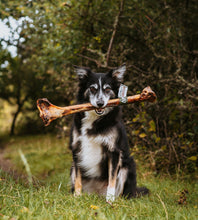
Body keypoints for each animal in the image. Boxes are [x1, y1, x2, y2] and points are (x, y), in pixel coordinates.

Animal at [69, 64, 148, 203]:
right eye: (92, 89)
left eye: (107, 89)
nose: (100, 103)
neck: (95, 119)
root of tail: (96, 193)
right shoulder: (76, 148)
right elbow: (78, 178)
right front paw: (77, 196)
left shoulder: (114, 151)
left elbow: (112, 180)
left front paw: (110, 200)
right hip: (72, 168)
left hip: (128, 165)